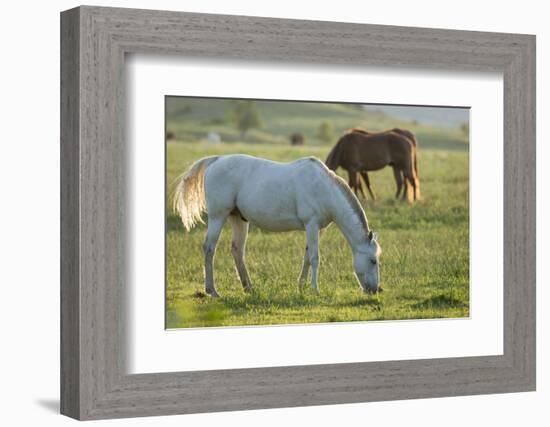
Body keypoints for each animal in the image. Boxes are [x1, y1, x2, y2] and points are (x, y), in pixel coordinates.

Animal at [175, 155, 382, 300]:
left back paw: (248, 288)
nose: (376, 290)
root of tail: (216, 160)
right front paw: (315, 289)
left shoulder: (316, 229)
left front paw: (301, 287)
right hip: (218, 216)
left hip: (238, 219)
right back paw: (212, 290)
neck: (324, 188)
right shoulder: (311, 225)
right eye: (373, 260)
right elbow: (315, 258)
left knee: (237, 250)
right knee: (209, 248)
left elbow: (307, 256)